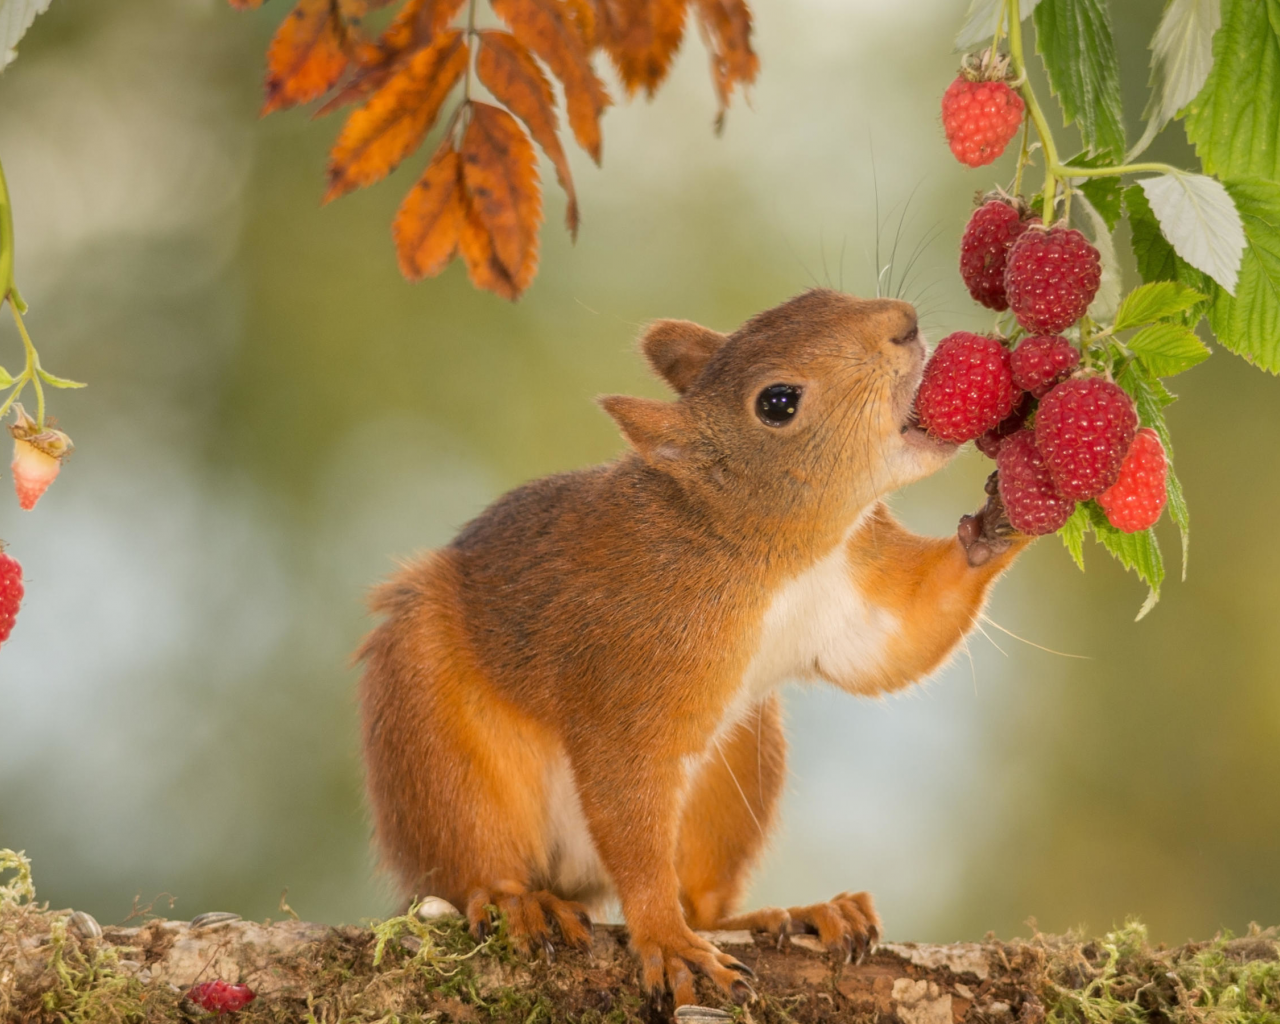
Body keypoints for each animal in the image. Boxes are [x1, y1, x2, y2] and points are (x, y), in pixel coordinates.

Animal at [353, 290, 1029, 1008]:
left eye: (818, 297)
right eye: (778, 403)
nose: (903, 324)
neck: (775, 554)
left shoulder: (853, 588)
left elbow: (898, 640)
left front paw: (1004, 516)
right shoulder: (628, 670)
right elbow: (630, 805)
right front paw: (665, 940)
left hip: (738, 767)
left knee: (704, 901)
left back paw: (802, 913)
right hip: (433, 737)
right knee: (469, 862)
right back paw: (517, 901)